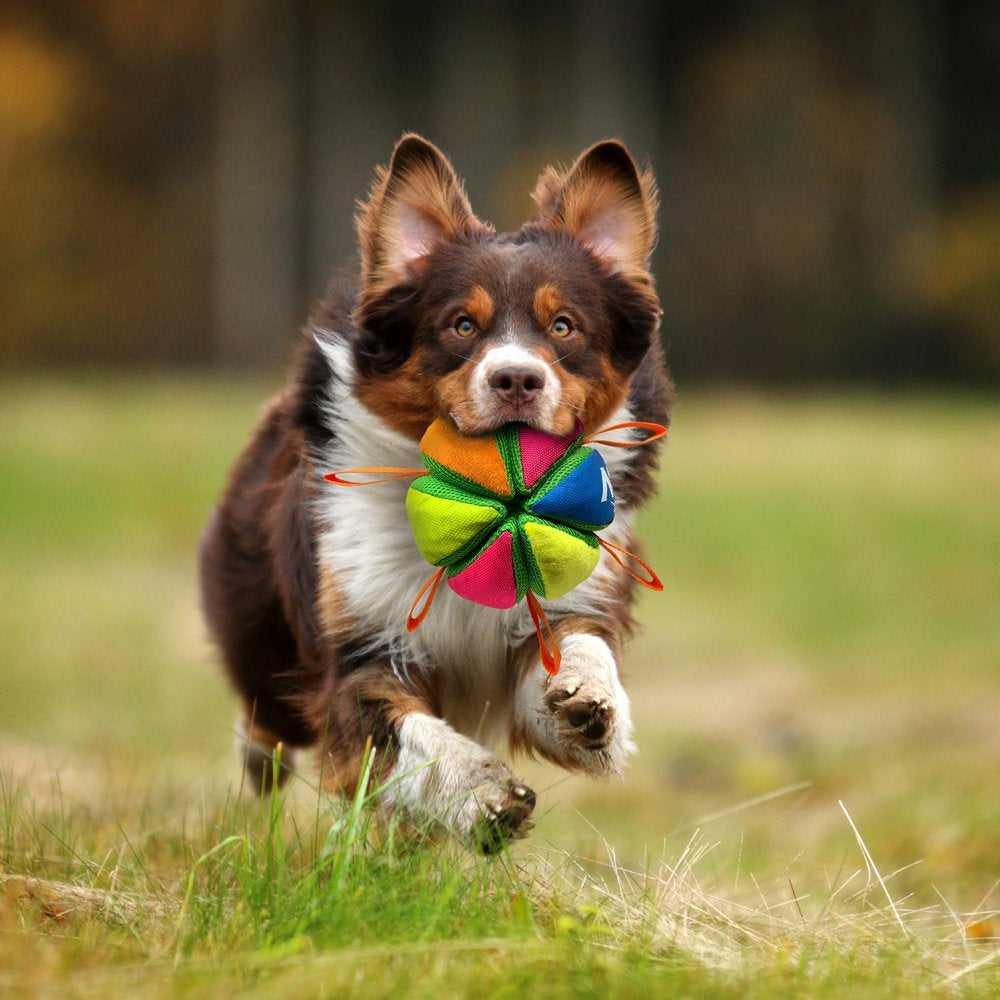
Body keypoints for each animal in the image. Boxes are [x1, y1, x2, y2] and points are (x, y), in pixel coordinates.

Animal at [198, 135, 672, 852]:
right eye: (461, 326)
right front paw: (483, 794)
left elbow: (576, 648)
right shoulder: (361, 638)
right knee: (267, 717)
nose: (516, 379)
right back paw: (260, 766)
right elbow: (404, 732)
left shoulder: (572, 596)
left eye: (564, 327)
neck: (484, 507)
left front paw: (590, 701)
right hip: (259, 625)